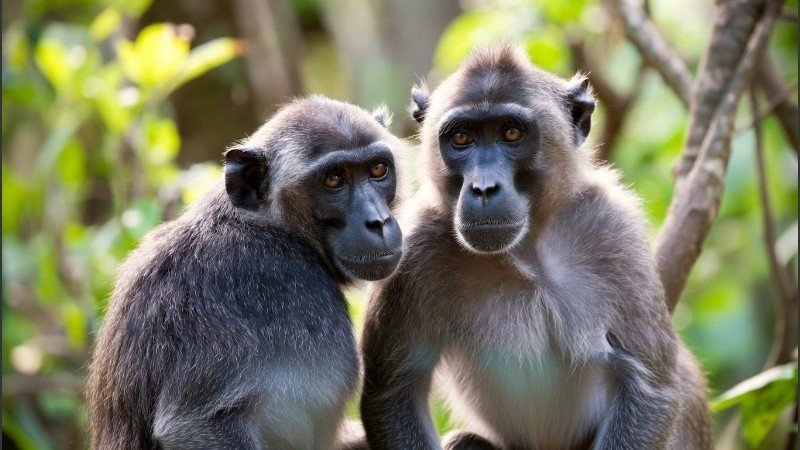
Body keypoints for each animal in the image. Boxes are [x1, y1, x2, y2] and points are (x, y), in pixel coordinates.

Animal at [87, 96, 404, 450]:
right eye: (333, 179)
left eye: (377, 169)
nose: (377, 221)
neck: (270, 224)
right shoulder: (277, 279)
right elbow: (195, 425)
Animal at [359, 44, 712, 450]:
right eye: (461, 138)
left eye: (512, 132)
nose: (484, 188)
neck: (525, 248)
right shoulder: (415, 247)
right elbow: (394, 393)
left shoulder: (613, 231)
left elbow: (651, 385)